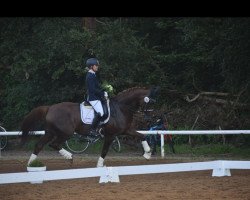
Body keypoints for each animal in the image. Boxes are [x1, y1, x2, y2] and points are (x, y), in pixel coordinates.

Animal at [20, 86, 159, 167]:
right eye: (150, 102)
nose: (153, 118)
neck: (121, 107)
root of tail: (50, 108)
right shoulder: (110, 135)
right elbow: (104, 150)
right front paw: (100, 165)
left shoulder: (126, 130)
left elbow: (142, 136)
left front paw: (147, 154)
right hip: (65, 133)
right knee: (54, 144)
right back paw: (69, 157)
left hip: (50, 132)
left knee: (39, 145)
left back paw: (31, 164)